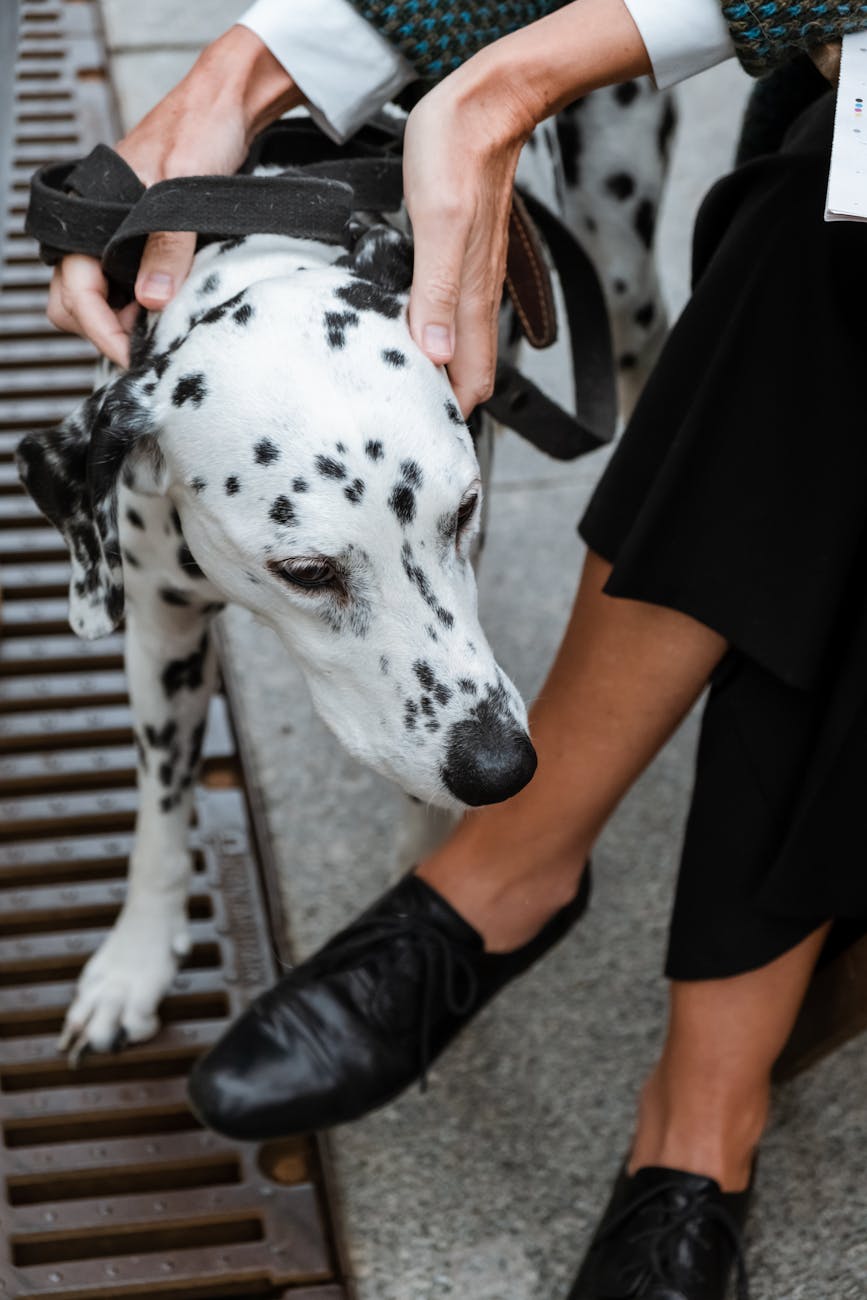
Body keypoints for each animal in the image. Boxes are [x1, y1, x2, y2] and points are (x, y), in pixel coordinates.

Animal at [16, 81, 675, 1060]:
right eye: (305, 569)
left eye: (465, 510)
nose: (501, 769)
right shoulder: (162, 629)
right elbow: (161, 813)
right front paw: (135, 961)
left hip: (621, 246)